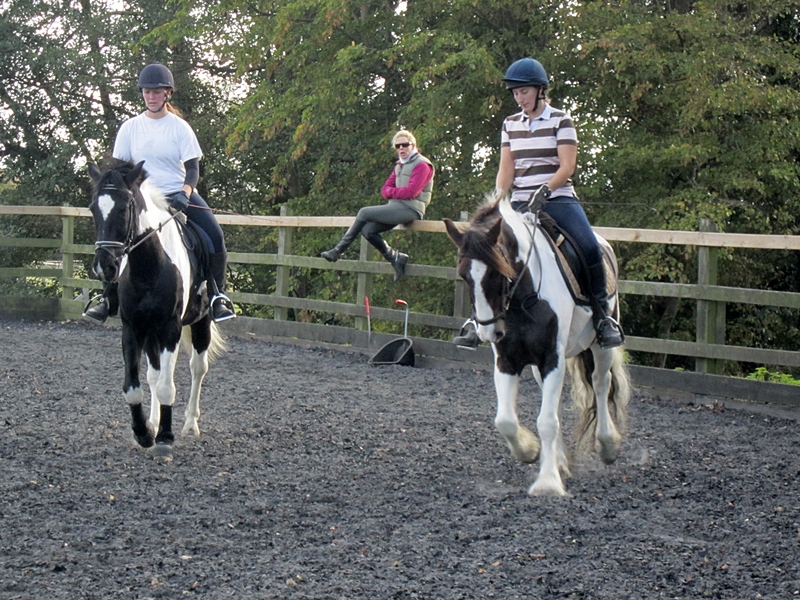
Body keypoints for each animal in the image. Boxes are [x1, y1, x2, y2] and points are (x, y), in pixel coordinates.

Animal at [87, 159, 225, 461]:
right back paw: (153, 420)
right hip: (150, 334)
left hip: (200, 322)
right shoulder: (133, 329)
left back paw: (190, 424)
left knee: (197, 369)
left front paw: (164, 438)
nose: (106, 267)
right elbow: (133, 387)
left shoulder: (169, 329)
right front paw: (144, 433)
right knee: (153, 374)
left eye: (125, 207)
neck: (148, 265)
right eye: (93, 208)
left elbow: (166, 387)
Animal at [444, 195, 630, 496]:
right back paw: (562, 460)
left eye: (498, 273)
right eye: (463, 276)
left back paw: (608, 444)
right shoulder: (507, 360)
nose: (488, 332)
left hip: (601, 345)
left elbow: (547, 421)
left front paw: (548, 483)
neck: (524, 297)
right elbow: (505, 420)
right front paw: (530, 451)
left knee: (601, 384)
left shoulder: (552, 358)